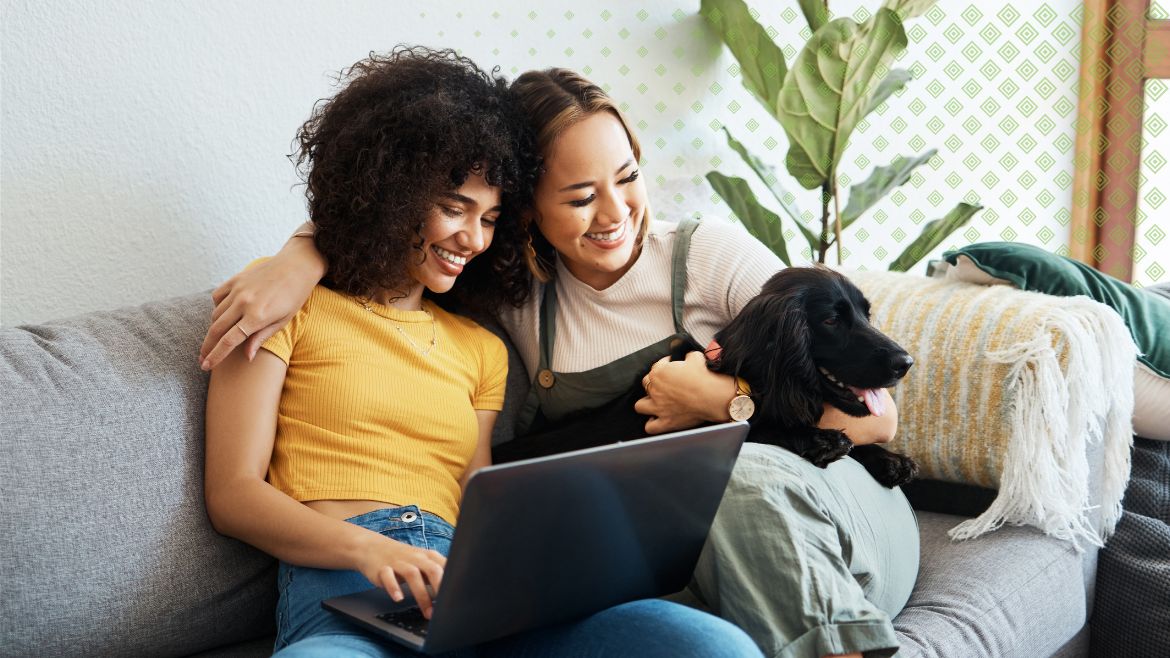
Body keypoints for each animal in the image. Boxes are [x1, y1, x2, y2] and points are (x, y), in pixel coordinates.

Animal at [489, 266, 917, 487]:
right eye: (831, 320)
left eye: (866, 314)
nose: (906, 362)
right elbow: (759, 425)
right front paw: (818, 438)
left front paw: (887, 457)